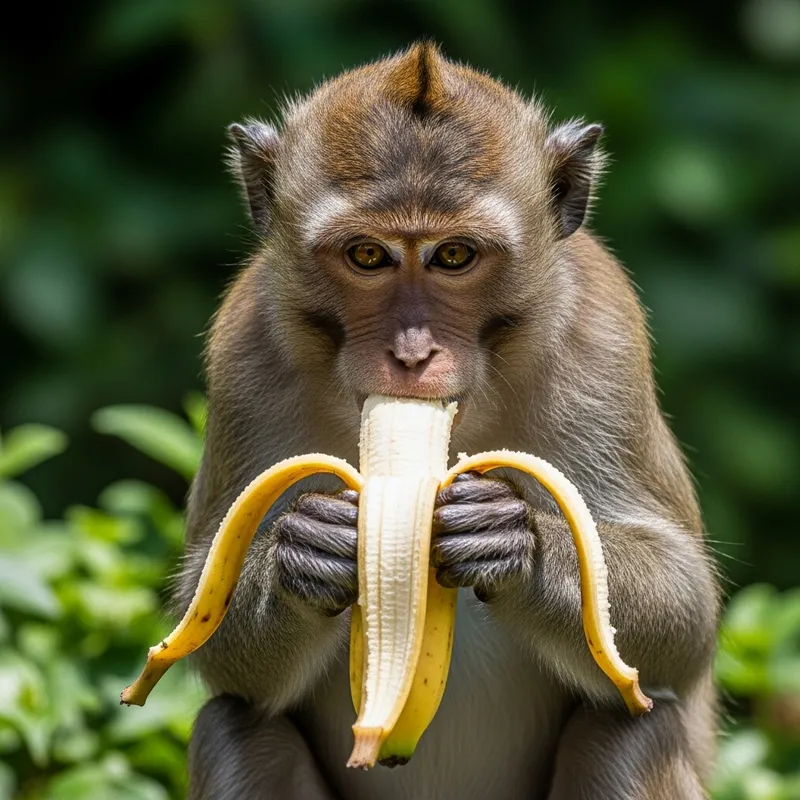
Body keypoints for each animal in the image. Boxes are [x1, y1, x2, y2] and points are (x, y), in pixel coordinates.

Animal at [178, 42, 720, 800]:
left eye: (454, 256)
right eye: (368, 255)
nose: (411, 353)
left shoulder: (602, 339)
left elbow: (685, 620)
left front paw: (516, 541)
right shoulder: (244, 352)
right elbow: (209, 628)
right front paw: (306, 551)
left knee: (630, 730)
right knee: (234, 727)